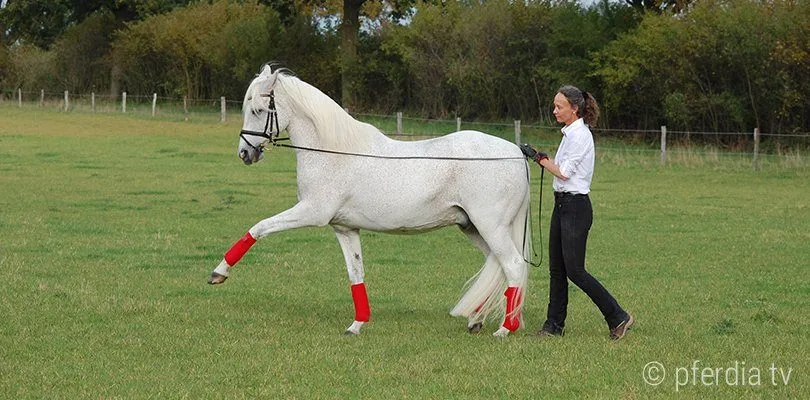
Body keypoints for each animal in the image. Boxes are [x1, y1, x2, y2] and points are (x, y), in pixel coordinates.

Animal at [207, 65, 532, 337]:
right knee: (499, 266)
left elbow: (259, 227)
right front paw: (357, 324)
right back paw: (478, 319)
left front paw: (219, 272)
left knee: (514, 265)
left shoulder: (311, 212)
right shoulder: (345, 228)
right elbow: (356, 274)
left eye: (258, 110)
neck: (334, 153)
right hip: (473, 228)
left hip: (490, 226)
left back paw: (506, 329)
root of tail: (515, 152)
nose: (245, 153)